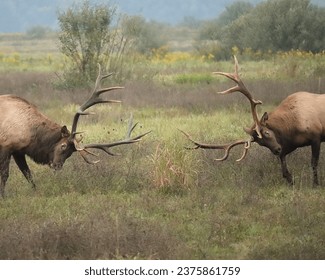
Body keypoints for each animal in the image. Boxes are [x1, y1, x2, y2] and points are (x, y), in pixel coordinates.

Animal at [0, 65, 149, 197]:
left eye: (70, 153)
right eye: (63, 145)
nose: (57, 166)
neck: (30, 132)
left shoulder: (19, 151)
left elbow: (28, 174)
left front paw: (36, 192)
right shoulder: (7, 146)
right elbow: (5, 174)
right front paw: (3, 196)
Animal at [181, 55, 324, 186]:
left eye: (267, 132)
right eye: (261, 143)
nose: (276, 149)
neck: (292, 126)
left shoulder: (316, 136)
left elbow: (314, 163)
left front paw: (315, 184)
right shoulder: (291, 143)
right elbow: (283, 161)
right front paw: (290, 179)